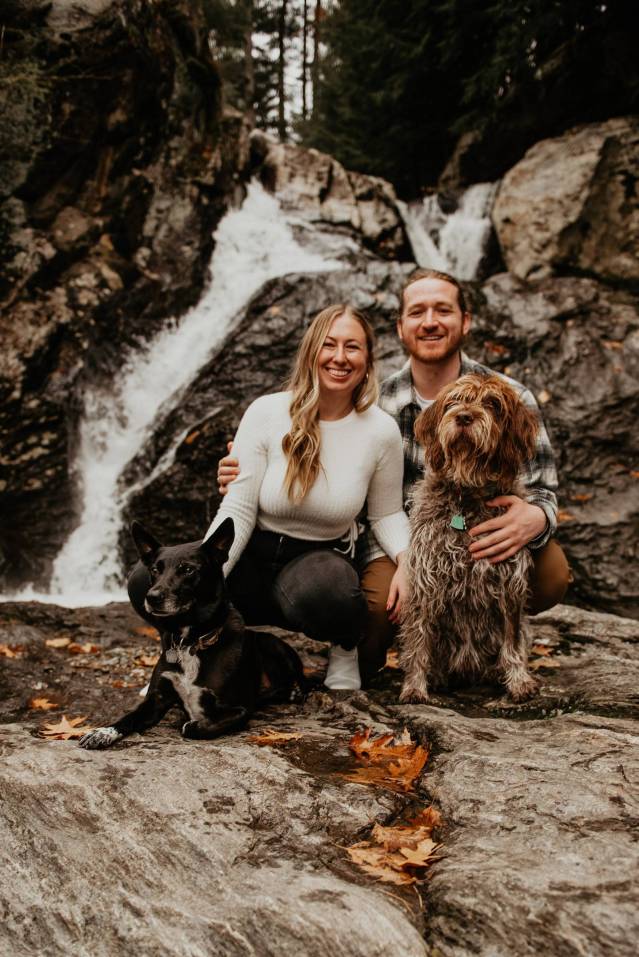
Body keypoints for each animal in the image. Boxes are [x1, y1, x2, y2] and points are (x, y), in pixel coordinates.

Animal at [79, 516, 304, 748]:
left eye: (187, 570)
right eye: (155, 570)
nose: (152, 597)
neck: (188, 641)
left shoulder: (241, 709)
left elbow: (198, 727)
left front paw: (193, 724)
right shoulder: (156, 701)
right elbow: (129, 717)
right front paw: (103, 732)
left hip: (273, 645)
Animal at [402, 374, 544, 704]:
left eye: (492, 403)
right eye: (454, 401)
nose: (464, 417)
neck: (467, 495)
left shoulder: (509, 583)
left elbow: (512, 640)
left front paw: (519, 681)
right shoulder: (426, 582)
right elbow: (418, 639)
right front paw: (415, 686)